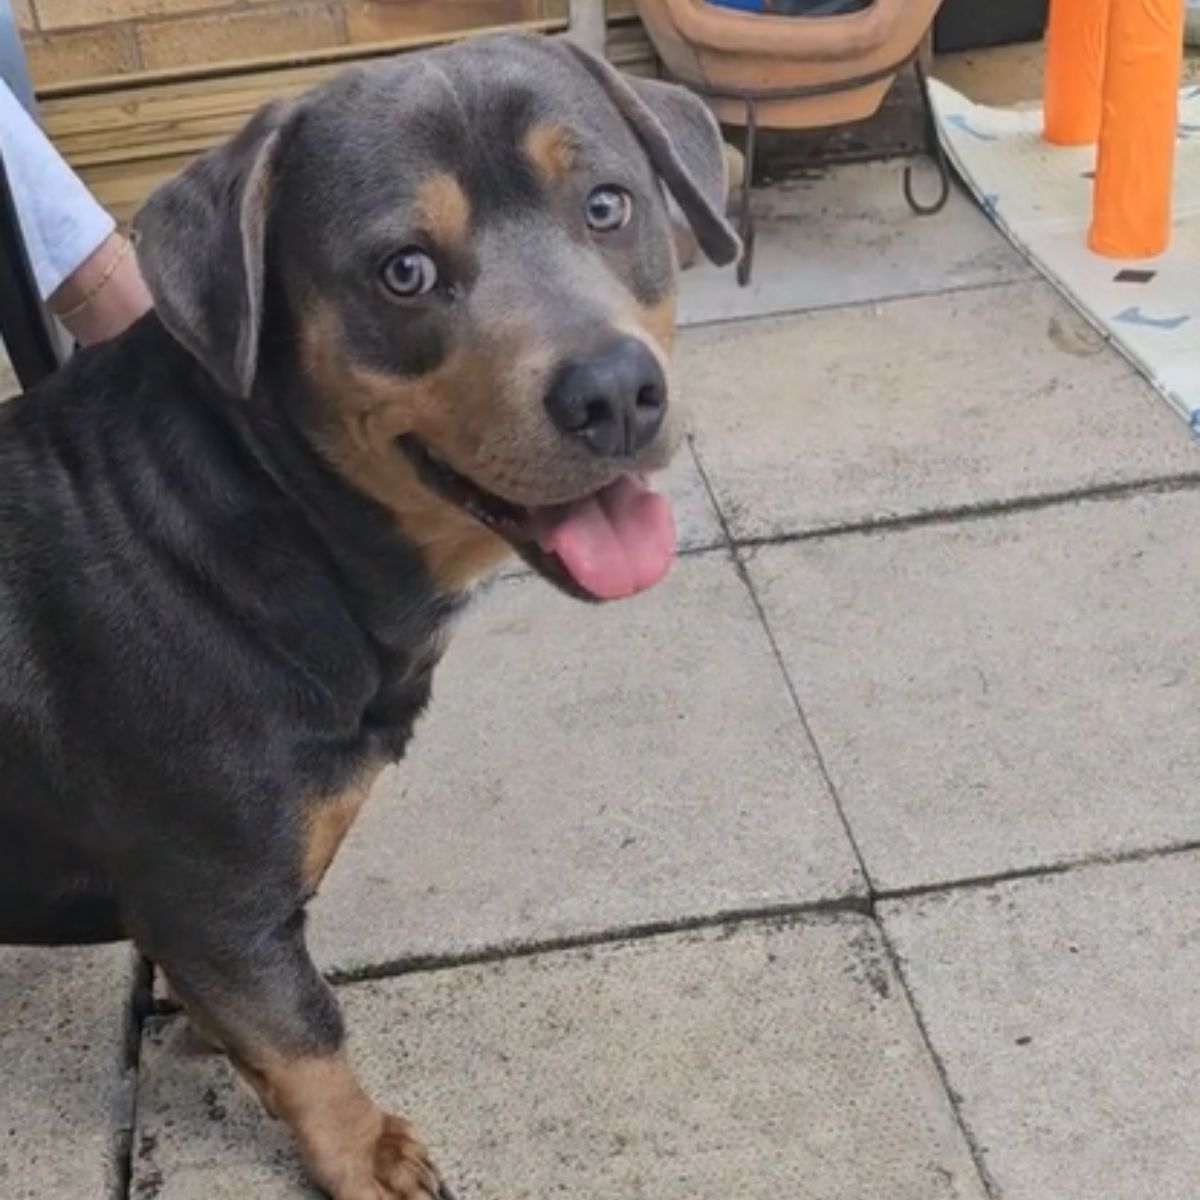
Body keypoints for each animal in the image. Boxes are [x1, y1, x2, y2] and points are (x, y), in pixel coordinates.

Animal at [0, 32, 734, 1195]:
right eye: (404, 270)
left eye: (608, 206)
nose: (618, 392)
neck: (280, 518)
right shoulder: (213, 897)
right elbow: (307, 1036)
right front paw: (365, 1153)